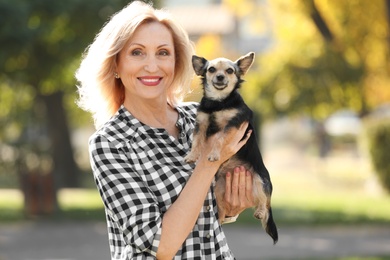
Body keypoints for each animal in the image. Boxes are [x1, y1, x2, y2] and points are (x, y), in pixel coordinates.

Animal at [185, 52, 278, 244]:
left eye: (229, 71)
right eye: (211, 69)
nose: (220, 77)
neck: (218, 103)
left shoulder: (233, 123)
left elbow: (220, 138)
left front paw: (213, 154)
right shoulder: (201, 123)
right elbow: (197, 140)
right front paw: (192, 155)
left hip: (261, 181)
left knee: (265, 203)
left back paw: (260, 211)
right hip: (219, 189)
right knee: (221, 210)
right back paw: (220, 218)